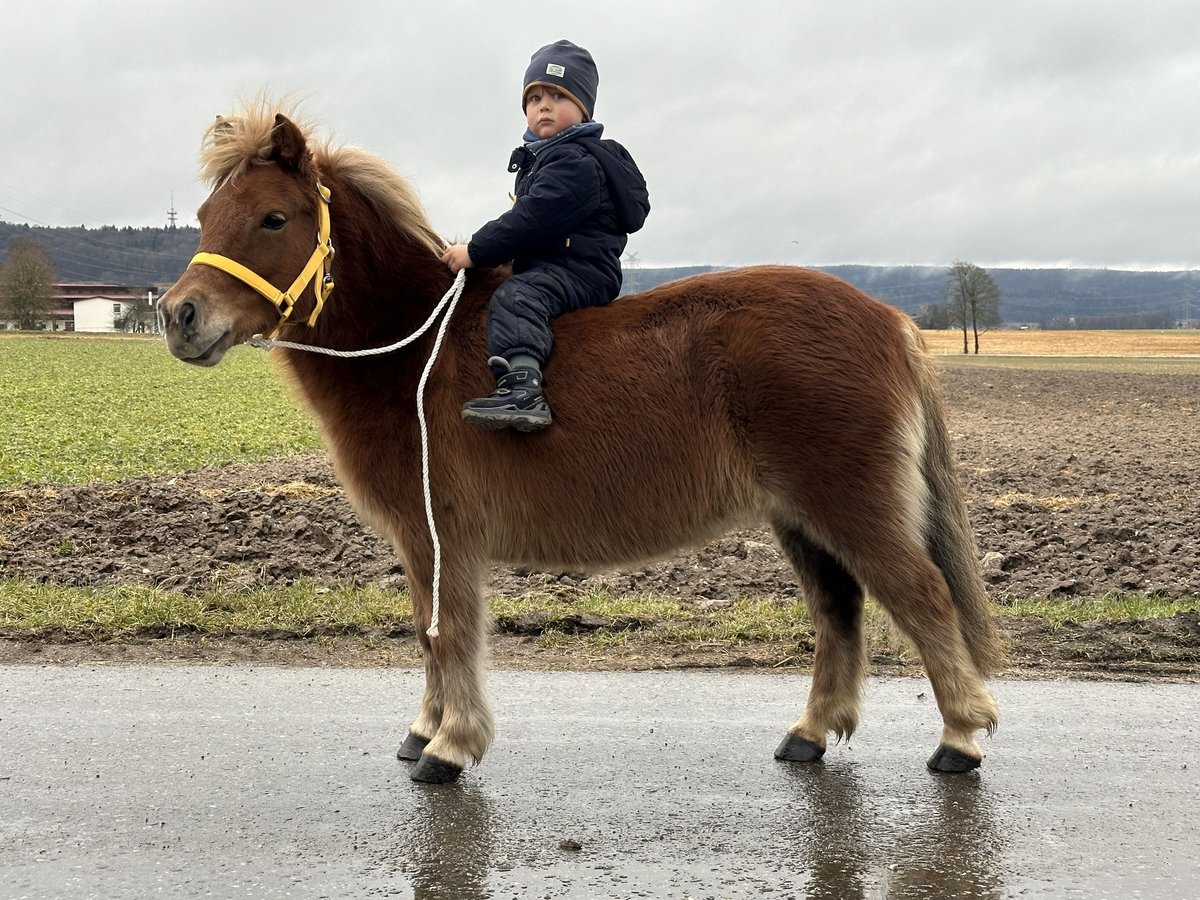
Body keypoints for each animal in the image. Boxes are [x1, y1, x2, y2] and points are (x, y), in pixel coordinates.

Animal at [159, 102, 1003, 787]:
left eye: (273, 218)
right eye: (203, 213)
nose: (178, 316)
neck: (414, 347)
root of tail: (889, 320)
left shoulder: (443, 534)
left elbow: (449, 630)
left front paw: (451, 745)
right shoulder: (418, 537)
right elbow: (426, 630)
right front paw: (425, 730)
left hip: (850, 504)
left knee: (922, 597)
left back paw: (960, 738)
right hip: (799, 517)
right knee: (839, 610)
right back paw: (811, 733)